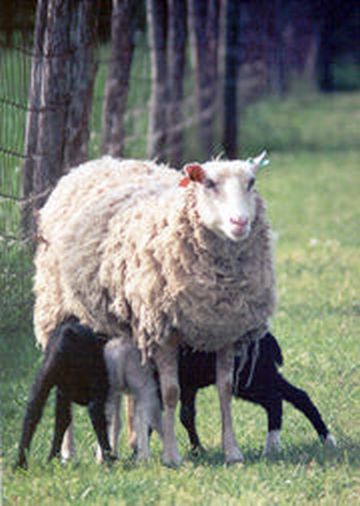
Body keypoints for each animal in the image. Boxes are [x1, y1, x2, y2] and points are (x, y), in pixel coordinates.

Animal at [34, 152, 276, 464]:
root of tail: (92, 163)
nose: (240, 221)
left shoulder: (226, 331)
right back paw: (68, 451)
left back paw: (128, 444)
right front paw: (171, 455)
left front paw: (232, 451)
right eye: (208, 183)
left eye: (251, 182)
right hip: (55, 308)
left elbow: (224, 391)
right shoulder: (163, 332)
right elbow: (171, 392)